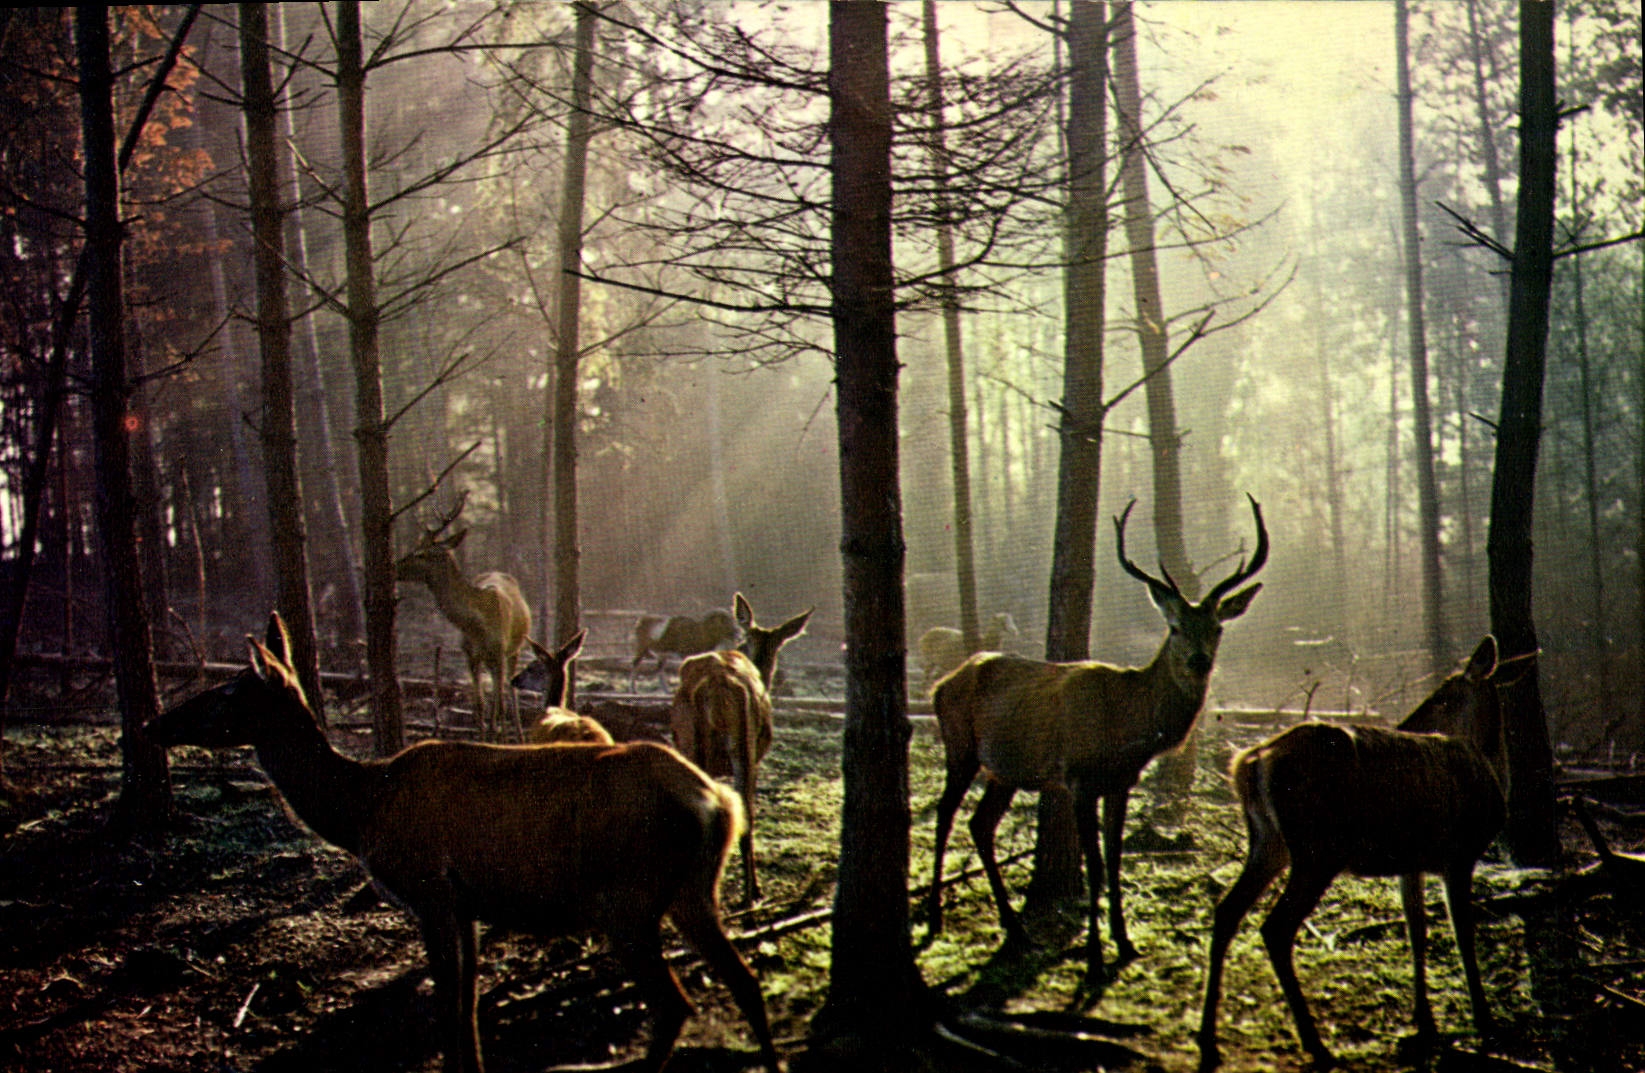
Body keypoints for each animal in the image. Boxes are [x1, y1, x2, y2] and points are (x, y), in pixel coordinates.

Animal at [144, 612, 781, 1073]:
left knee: (677, 1004)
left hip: (627, 899)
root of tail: (718, 803)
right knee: (746, 983)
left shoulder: (429, 888)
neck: (361, 806)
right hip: (691, 891)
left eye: (229, 692)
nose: (154, 723)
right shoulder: (468, 902)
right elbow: (469, 1003)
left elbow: (448, 1005)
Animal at [394, 493, 531, 742]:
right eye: (416, 546)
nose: (393, 565)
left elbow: (500, 706)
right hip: (490, 660)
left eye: (421, 553)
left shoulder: (499, 652)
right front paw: (484, 739)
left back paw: (517, 735)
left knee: (510, 692)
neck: (477, 624)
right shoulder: (470, 656)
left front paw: (502, 741)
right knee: (495, 696)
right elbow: (479, 706)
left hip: (514, 649)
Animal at [671, 592, 812, 905]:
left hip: (698, 745)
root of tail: (716, 683)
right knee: (745, 810)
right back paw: (751, 892)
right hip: (740, 746)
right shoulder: (757, 757)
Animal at [927, 495, 1268, 984]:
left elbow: (1113, 858)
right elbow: (1093, 864)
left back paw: (1016, 929)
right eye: (1175, 627)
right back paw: (935, 917)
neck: (1129, 726)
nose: (1199, 661)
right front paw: (1092, 955)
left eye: (1217, 628)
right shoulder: (1080, 779)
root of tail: (941, 685)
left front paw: (1123, 943)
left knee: (979, 824)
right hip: (960, 746)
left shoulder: (1119, 783)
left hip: (1005, 770)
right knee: (944, 814)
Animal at [1196, 635, 1533, 1072]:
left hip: (1269, 843)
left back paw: (1209, 1039)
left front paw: (1424, 1023)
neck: (1489, 767)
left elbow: (1416, 930)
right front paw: (1484, 1021)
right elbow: (1463, 934)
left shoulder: (1412, 863)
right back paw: (1316, 1044)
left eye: (1441, 695)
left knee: (1226, 911)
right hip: (1318, 848)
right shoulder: (1458, 854)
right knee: (1275, 927)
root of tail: (1252, 761)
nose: (1406, 725)